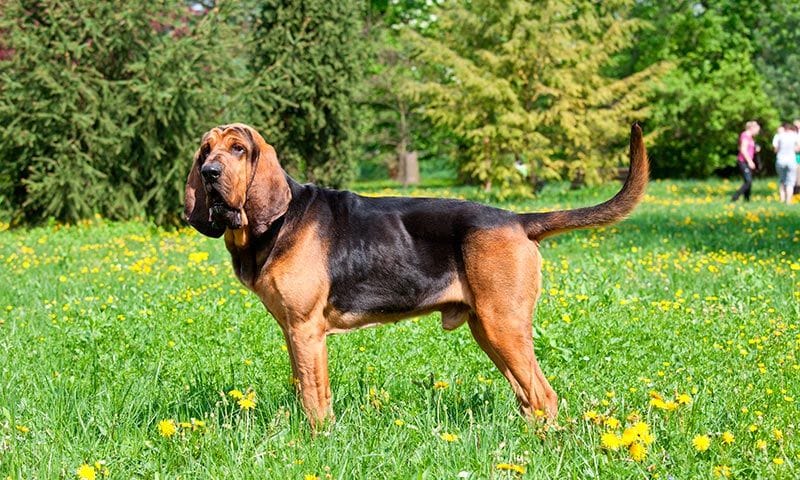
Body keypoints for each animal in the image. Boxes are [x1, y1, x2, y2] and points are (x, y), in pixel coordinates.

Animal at [184, 123, 648, 428]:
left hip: (504, 325)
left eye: (238, 149)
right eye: (205, 151)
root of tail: (517, 219)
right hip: (488, 329)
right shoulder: (293, 333)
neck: (275, 222)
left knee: (544, 396)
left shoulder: (305, 330)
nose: (209, 174)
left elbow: (315, 397)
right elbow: (304, 388)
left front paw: (316, 440)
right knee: (528, 394)